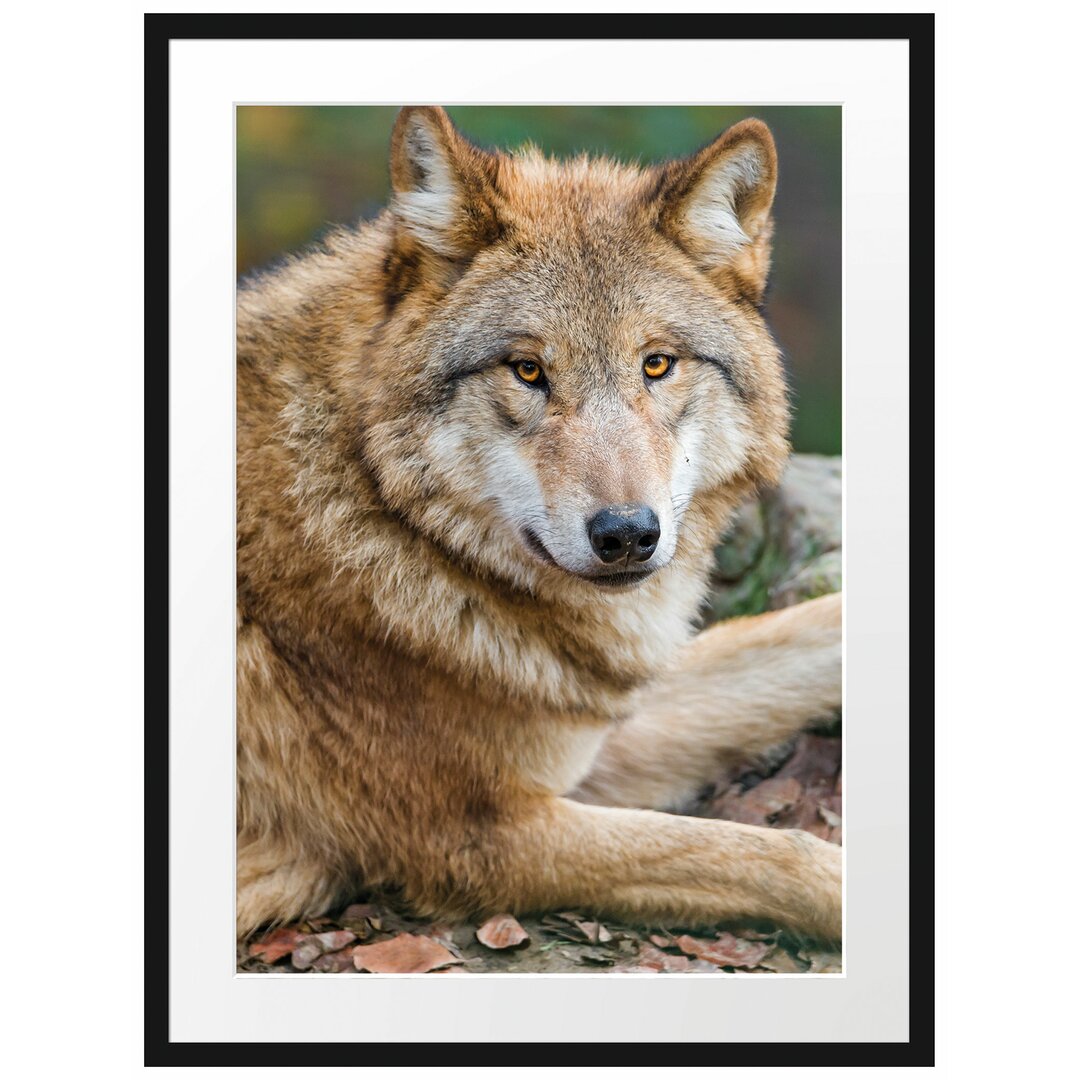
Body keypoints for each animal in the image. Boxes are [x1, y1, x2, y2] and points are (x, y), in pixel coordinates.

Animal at [238, 105, 842, 941]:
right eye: (528, 370)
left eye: (657, 364)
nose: (626, 535)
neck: (376, 512)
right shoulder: (486, 837)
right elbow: (773, 854)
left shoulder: (587, 731)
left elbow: (806, 632)